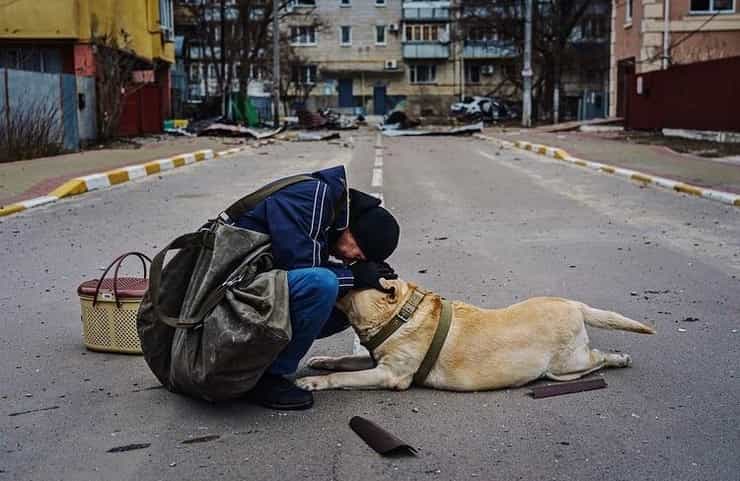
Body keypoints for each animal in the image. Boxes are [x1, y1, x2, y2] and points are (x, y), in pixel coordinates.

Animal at [294, 278, 652, 390]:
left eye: (355, 276)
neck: (398, 316)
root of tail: (575, 304)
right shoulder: (374, 361)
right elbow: (344, 361)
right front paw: (322, 360)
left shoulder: (389, 374)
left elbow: (345, 377)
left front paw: (314, 382)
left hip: (567, 364)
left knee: (597, 358)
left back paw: (619, 358)